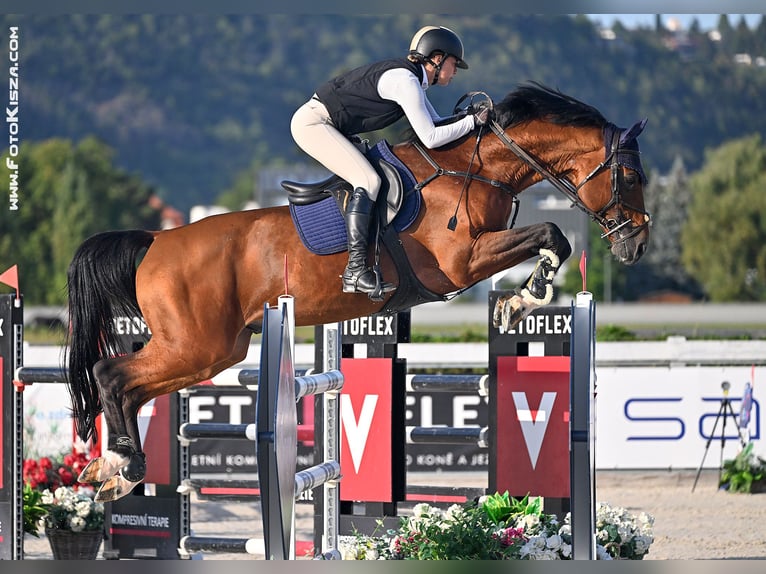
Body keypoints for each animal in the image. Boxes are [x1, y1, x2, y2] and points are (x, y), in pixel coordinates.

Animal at [67, 82, 656, 504]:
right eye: (631, 176)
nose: (638, 245)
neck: (476, 170)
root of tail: (155, 241)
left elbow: (551, 238)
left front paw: (521, 299)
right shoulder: (462, 264)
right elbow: (551, 234)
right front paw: (523, 299)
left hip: (214, 350)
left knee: (129, 386)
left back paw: (116, 469)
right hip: (196, 345)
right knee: (110, 374)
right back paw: (123, 465)